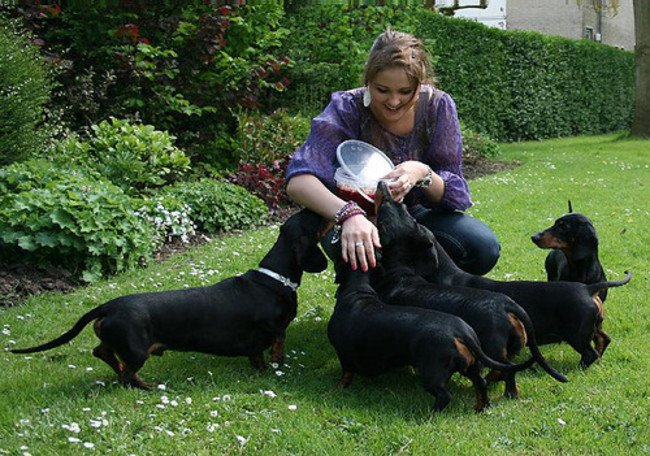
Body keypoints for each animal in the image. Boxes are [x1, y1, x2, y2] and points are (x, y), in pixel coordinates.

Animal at [11, 209, 329, 389]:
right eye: (315, 219)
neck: (273, 278)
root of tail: (109, 305)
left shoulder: (255, 345)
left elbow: (258, 357)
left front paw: (263, 369)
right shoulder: (274, 327)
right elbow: (279, 342)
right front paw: (277, 362)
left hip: (123, 344)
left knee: (103, 353)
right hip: (137, 350)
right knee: (125, 375)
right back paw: (147, 386)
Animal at [328, 254, 534, 412]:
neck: (357, 291)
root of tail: (462, 331)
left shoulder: (343, 354)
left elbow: (346, 373)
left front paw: (339, 388)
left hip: (432, 374)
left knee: (446, 395)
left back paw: (432, 413)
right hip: (471, 365)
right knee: (481, 383)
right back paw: (481, 407)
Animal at [371, 182, 567, 398]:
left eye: (385, 206)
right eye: (403, 209)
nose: (382, 184)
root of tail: (508, 305)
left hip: (492, 347)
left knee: (506, 368)